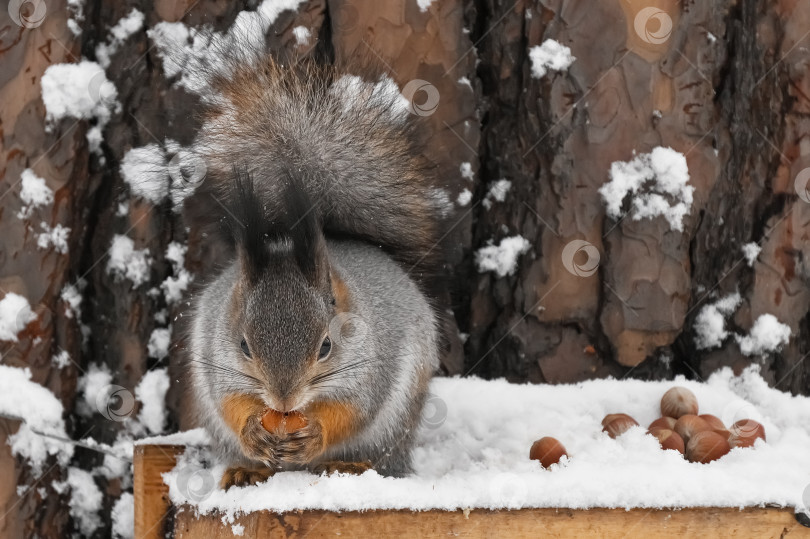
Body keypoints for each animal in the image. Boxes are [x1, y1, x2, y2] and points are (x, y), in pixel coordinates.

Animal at [185, 53, 454, 490]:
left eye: (326, 346)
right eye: (244, 346)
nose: (284, 401)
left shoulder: (372, 368)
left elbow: (352, 411)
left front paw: (316, 434)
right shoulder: (217, 356)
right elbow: (231, 401)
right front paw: (252, 432)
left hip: (393, 428)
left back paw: (348, 465)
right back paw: (246, 468)